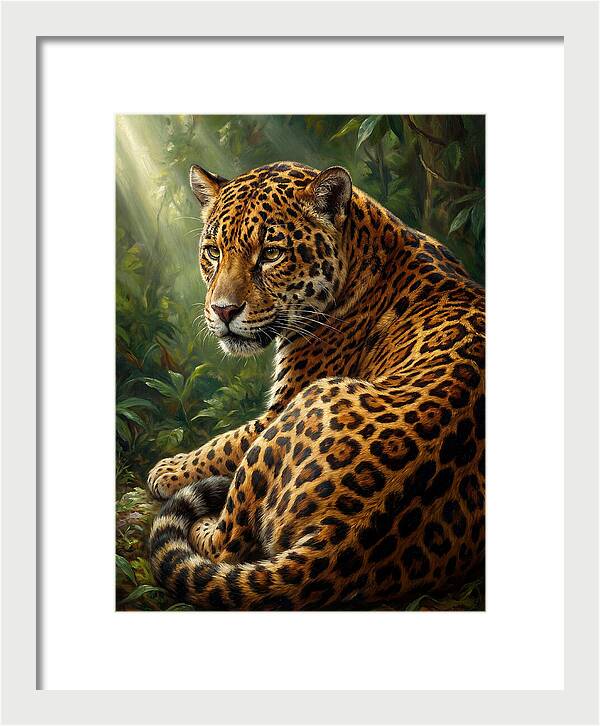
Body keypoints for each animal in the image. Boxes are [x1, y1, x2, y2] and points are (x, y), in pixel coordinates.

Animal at [147, 160, 485, 610]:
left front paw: (168, 470)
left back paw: (203, 522)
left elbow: (224, 443)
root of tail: (341, 540)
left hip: (304, 404)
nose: (223, 310)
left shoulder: (281, 404)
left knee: (227, 544)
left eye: (271, 253)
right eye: (214, 251)